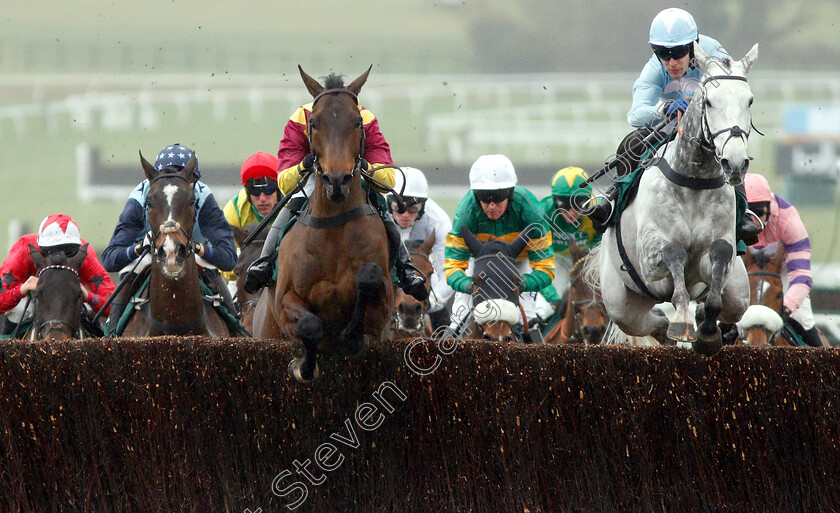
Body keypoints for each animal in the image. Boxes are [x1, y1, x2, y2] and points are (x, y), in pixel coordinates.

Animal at [253, 66, 394, 382]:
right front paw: (302, 365)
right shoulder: (285, 300)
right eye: (314, 123)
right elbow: (310, 326)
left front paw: (351, 336)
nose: (336, 181)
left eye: (357, 122)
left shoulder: (385, 303)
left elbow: (368, 279)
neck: (334, 231)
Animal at [588, 43, 756, 356]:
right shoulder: (649, 256)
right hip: (620, 302)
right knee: (652, 322)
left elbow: (719, 256)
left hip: (739, 290)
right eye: (709, 102)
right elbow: (674, 254)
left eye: (749, 100)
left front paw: (707, 333)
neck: (693, 180)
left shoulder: (719, 251)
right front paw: (682, 320)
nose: (735, 163)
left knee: (728, 305)